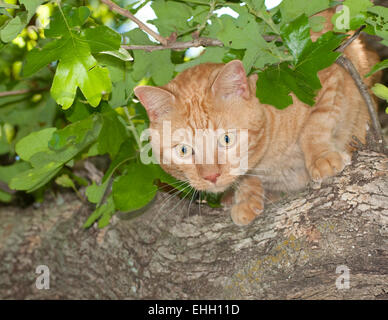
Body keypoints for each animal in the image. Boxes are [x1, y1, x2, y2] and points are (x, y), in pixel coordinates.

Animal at [133, 11, 378, 226]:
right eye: (184, 150)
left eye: (227, 139)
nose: (211, 176)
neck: (269, 158)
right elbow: (244, 176)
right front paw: (247, 197)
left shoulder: (329, 76)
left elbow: (316, 125)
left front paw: (321, 158)